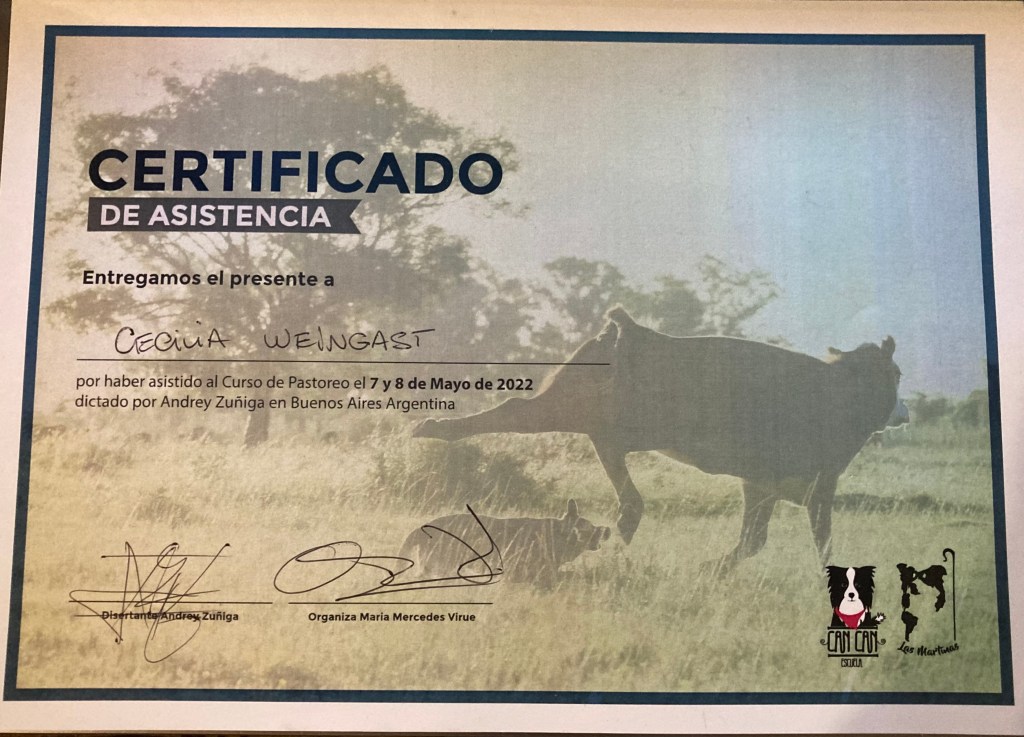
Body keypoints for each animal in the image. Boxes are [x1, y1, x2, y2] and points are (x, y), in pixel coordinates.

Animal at [414, 307, 901, 571]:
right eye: (895, 374)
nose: (901, 409)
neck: (837, 393)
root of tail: (631, 329)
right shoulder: (819, 483)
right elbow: (821, 540)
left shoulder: (763, 484)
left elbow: (755, 539)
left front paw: (710, 569)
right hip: (569, 408)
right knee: (514, 411)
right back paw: (430, 428)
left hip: (602, 427)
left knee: (625, 490)